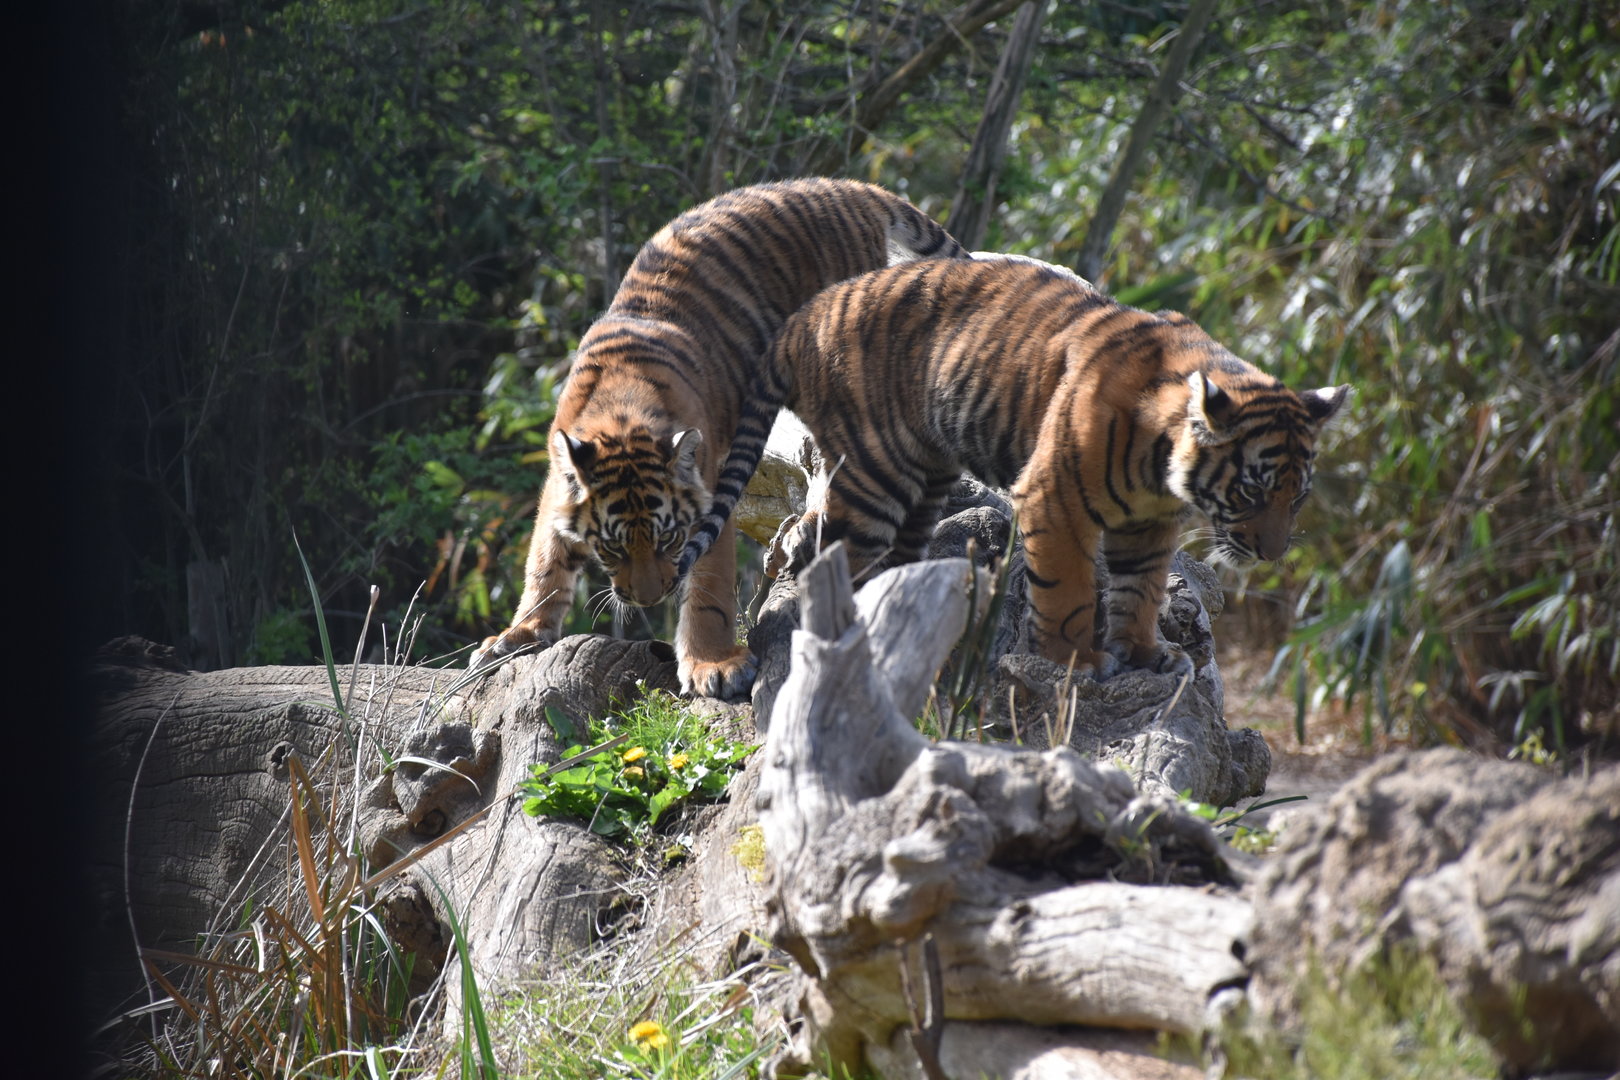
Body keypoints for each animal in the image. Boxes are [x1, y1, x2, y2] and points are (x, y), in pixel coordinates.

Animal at [469, 178, 968, 698]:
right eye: (614, 547)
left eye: (668, 539)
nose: (650, 599)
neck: (618, 417)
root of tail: (848, 188)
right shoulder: (558, 483)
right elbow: (545, 561)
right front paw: (518, 634)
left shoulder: (710, 491)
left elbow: (709, 584)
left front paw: (714, 665)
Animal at [679, 254, 1349, 678]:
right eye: (1252, 491)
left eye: (1297, 498)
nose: (1271, 553)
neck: (1163, 470)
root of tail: (802, 316)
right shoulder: (1056, 497)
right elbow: (1070, 589)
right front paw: (1078, 662)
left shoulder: (1148, 525)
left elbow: (1142, 589)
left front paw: (1144, 652)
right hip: (876, 475)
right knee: (832, 552)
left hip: (927, 473)